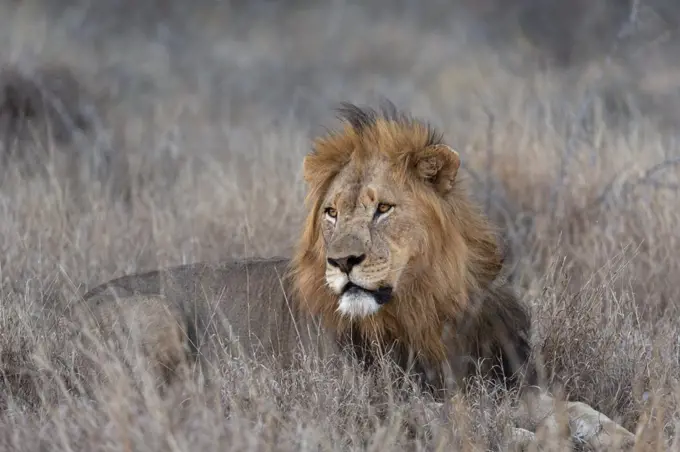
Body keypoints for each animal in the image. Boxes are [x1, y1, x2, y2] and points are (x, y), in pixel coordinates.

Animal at [81, 100, 636, 450]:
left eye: (382, 209)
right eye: (330, 214)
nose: (341, 261)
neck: (426, 310)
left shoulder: (496, 377)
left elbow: (572, 405)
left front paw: (620, 435)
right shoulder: (385, 404)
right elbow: (479, 425)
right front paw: (538, 440)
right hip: (156, 319)